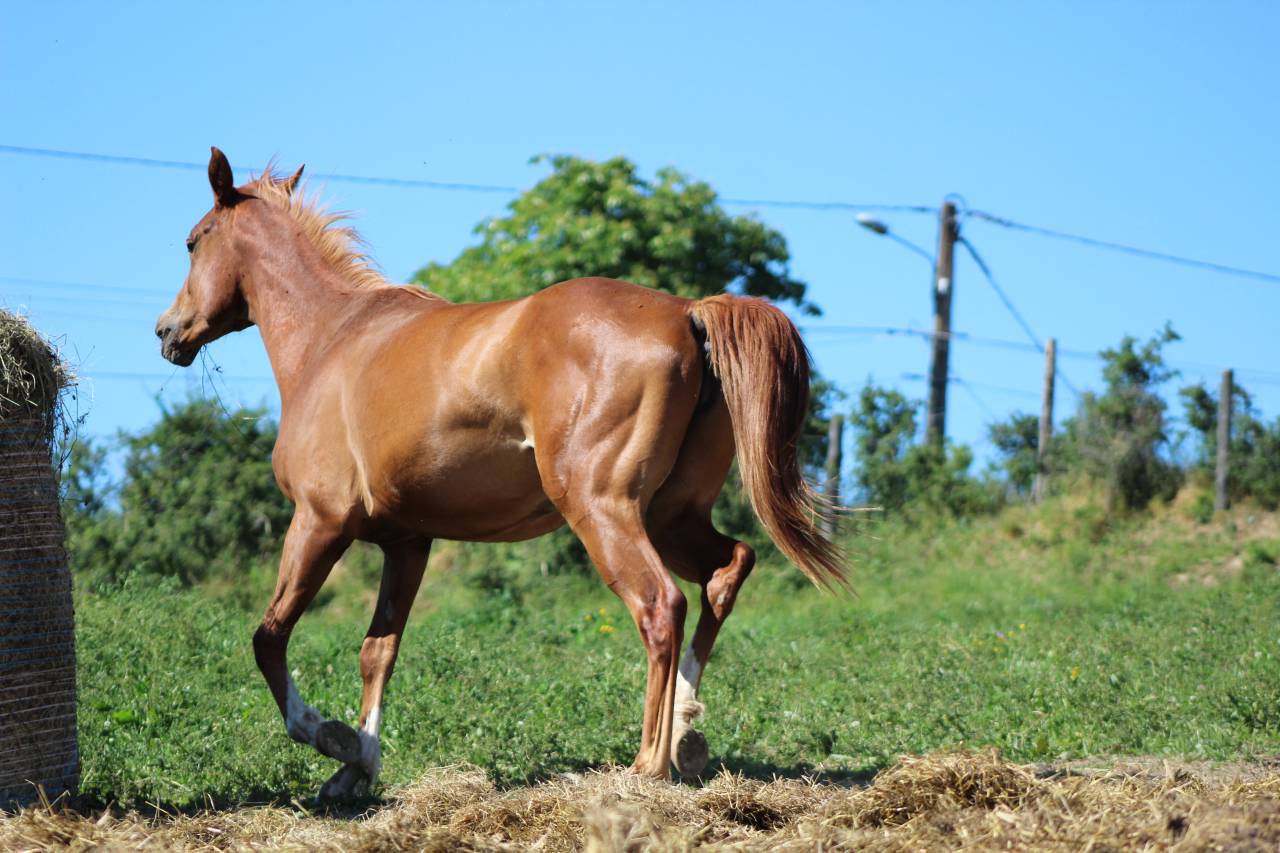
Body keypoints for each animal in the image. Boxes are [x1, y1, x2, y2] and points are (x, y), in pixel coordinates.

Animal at [155, 147, 846, 800]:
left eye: (193, 240)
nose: (168, 331)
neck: (333, 339)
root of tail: (687, 312)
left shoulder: (321, 521)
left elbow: (268, 638)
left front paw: (330, 737)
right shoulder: (407, 542)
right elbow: (378, 652)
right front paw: (358, 767)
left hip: (603, 508)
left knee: (661, 605)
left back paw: (648, 765)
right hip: (670, 514)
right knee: (728, 570)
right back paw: (686, 732)